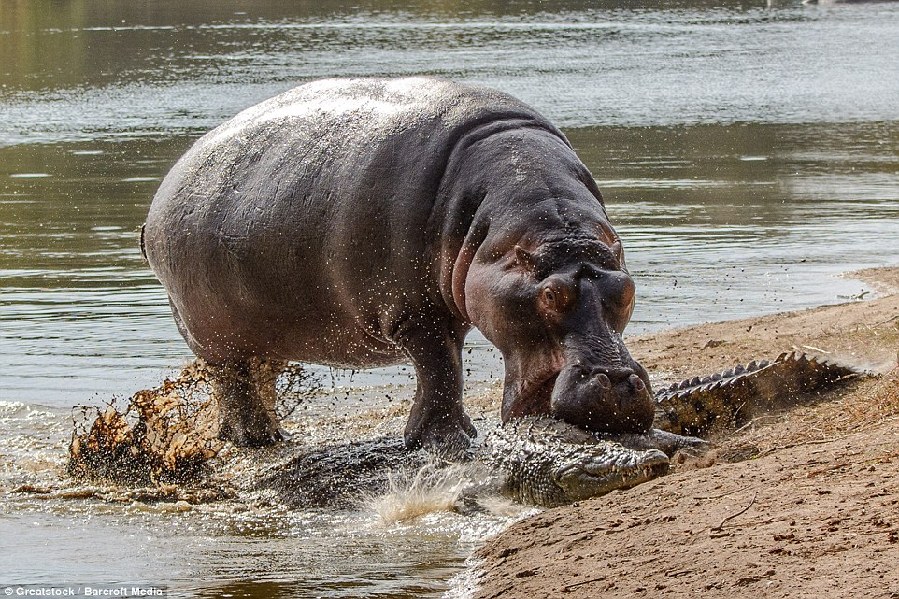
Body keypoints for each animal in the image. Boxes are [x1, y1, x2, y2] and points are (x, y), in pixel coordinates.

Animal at [142, 78, 652, 454]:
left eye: (626, 291)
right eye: (551, 294)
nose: (617, 385)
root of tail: (161, 196)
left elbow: (445, 370)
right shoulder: (415, 313)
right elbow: (441, 371)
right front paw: (445, 442)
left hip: (260, 326)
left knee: (257, 375)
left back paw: (270, 434)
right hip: (211, 334)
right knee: (233, 382)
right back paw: (256, 439)